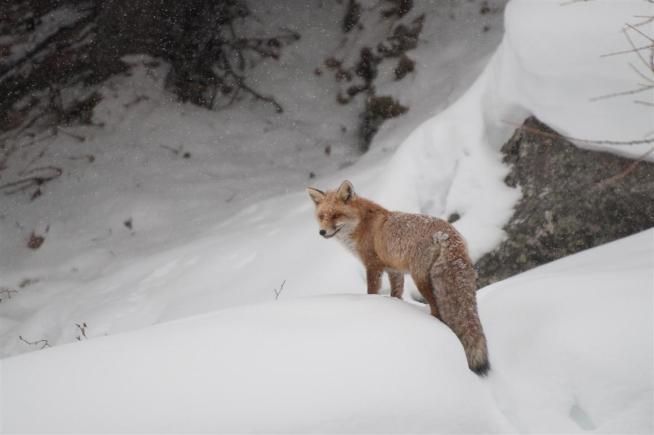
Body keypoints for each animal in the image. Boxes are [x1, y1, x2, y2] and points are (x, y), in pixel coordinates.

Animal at [308, 180, 492, 374]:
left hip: (421, 279)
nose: (322, 232)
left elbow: (371, 291)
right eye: (321, 216)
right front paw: (396, 307)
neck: (363, 224)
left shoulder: (373, 266)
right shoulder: (394, 271)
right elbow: (396, 294)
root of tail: (447, 233)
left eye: (336, 215)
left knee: (436, 309)